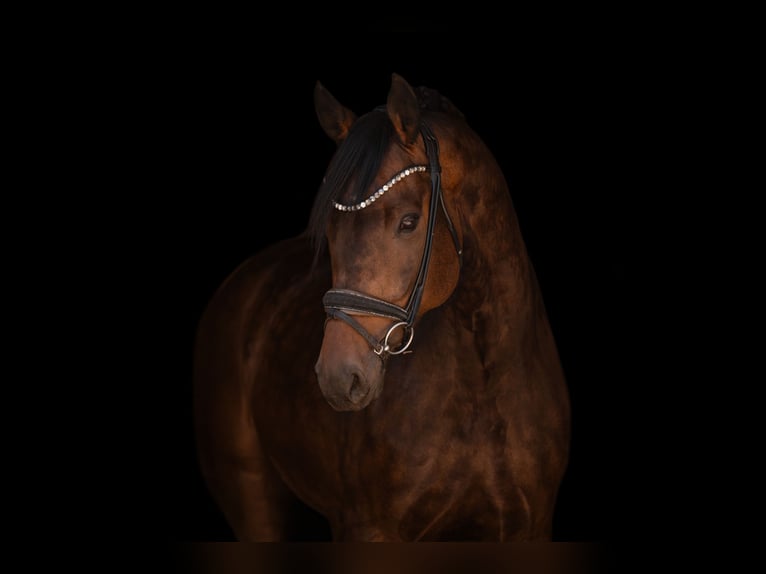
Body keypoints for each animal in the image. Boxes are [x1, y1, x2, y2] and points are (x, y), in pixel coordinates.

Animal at [193, 73, 571, 541]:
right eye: (330, 230)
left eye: (409, 222)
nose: (339, 377)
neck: (484, 384)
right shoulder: (370, 529)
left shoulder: (531, 525)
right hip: (252, 496)